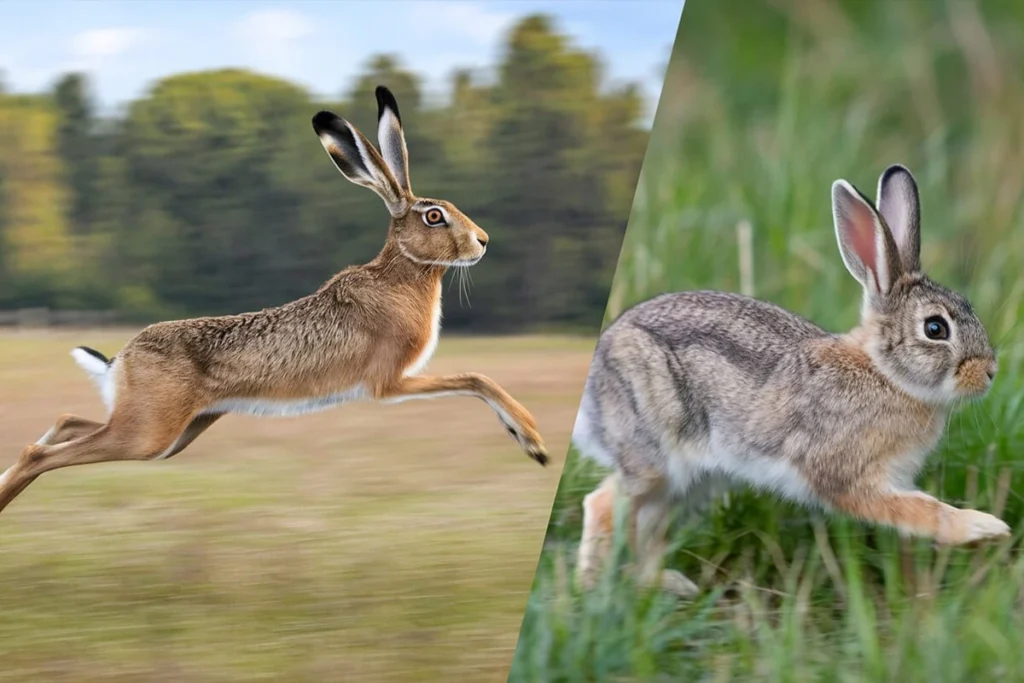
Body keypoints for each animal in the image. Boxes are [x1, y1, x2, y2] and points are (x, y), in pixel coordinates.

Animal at [0, 83, 552, 511]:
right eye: (434, 216)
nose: (482, 241)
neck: (401, 273)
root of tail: (122, 359)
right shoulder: (389, 381)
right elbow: (476, 378)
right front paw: (533, 441)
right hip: (149, 432)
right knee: (37, 454)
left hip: (171, 432)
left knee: (66, 422)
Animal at [577, 166, 1007, 598]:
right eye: (936, 328)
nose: (990, 372)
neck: (886, 374)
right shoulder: (847, 476)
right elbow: (916, 509)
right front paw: (982, 528)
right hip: (654, 452)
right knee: (602, 504)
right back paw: (594, 591)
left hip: (688, 480)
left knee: (646, 521)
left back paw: (662, 585)